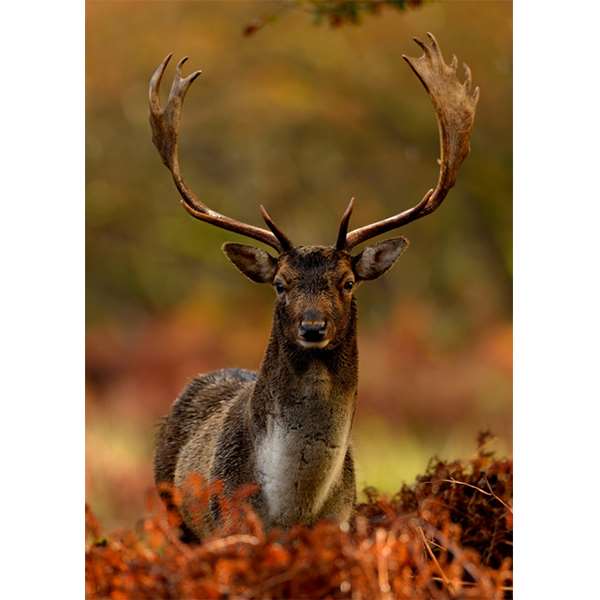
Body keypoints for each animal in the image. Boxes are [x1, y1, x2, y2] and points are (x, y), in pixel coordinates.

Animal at [149, 30, 478, 540]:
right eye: (280, 285)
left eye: (348, 282)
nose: (312, 327)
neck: (294, 511)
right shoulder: (228, 527)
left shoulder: (343, 523)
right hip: (172, 509)